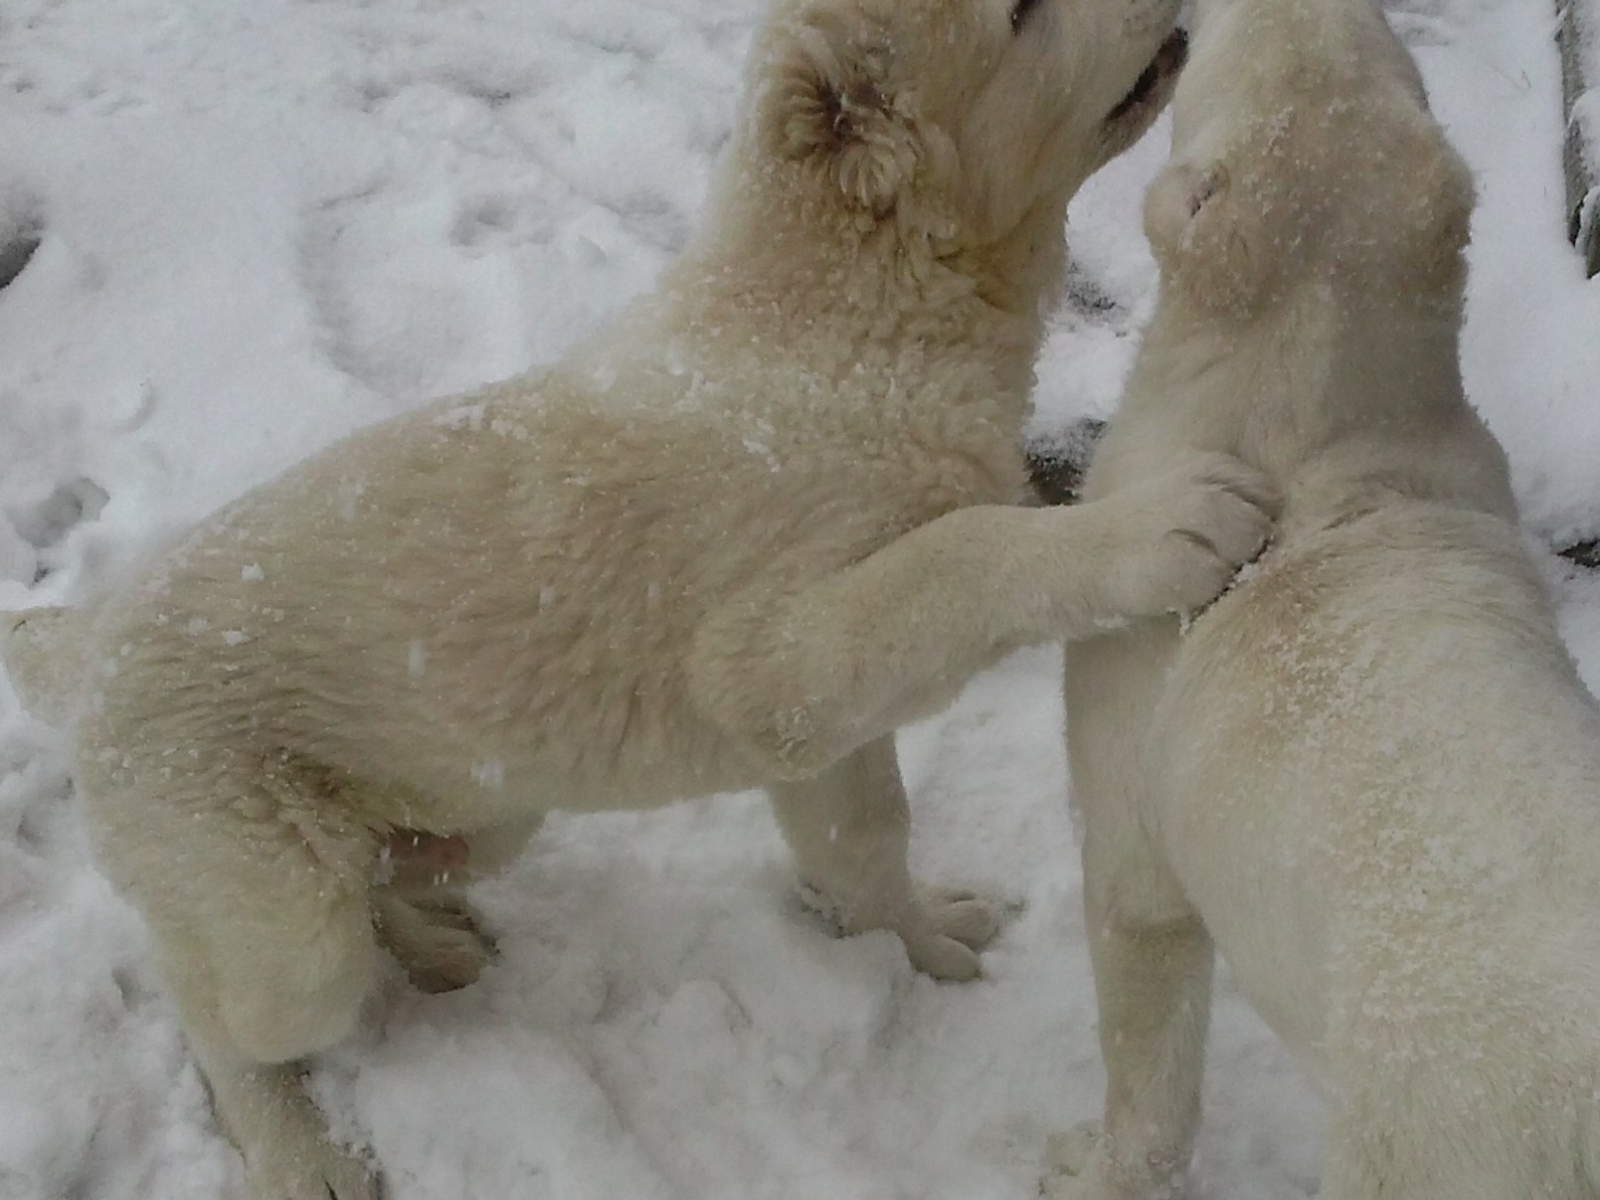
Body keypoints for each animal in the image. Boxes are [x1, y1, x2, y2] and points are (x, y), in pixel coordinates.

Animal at [1052, 0, 1600, 1197]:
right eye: (1381, 31)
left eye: (1222, 51)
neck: (1311, 449)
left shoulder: (1135, 715)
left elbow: (1141, 955)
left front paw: (1090, 1165)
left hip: (1425, 1134)